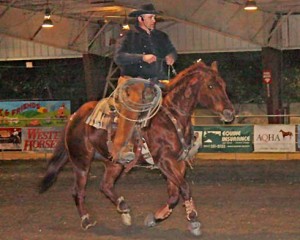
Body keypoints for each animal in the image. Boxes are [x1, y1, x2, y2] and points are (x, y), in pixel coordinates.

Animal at [39, 60, 234, 236]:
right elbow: (185, 188)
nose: (230, 113)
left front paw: (155, 218)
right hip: (81, 161)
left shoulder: (178, 162)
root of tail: (75, 116)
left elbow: (174, 194)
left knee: (105, 185)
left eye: (224, 85)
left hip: (113, 162)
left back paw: (124, 209)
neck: (171, 117)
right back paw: (86, 220)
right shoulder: (164, 161)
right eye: (210, 85)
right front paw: (193, 220)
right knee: (78, 191)